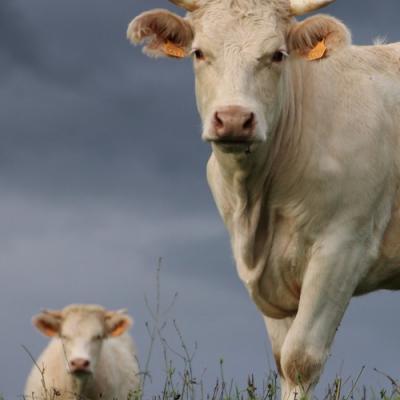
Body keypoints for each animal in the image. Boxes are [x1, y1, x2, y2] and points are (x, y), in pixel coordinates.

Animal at [128, 0, 400, 398]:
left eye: (277, 55)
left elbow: (300, 359)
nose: (234, 119)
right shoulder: (264, 269)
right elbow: (281, 360)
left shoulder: (344, 245)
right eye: (199, 53)